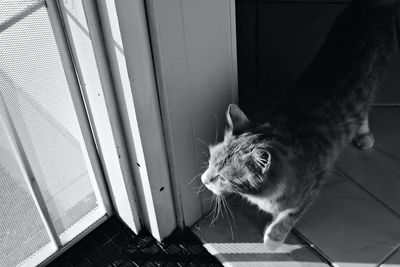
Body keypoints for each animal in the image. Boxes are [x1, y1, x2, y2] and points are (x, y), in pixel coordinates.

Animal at [202, 0, 396, 251]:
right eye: (209, 162)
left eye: (222, 178)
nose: (203, 179)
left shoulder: (309, 191)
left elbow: (287, 217)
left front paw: (272, 239)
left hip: (373, 83)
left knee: (365, 109)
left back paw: (365, 134)